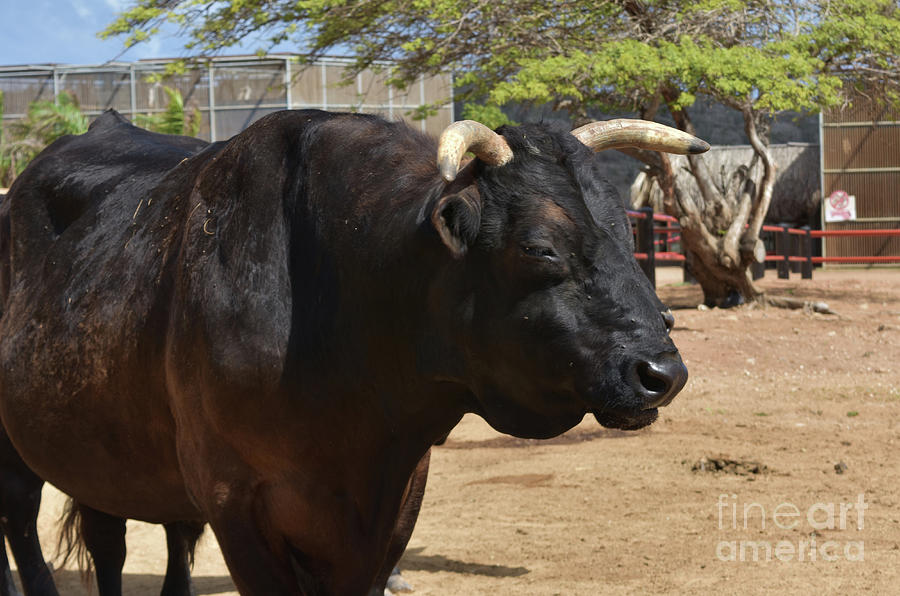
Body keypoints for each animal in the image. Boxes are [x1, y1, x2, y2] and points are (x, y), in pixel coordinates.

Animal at [0, 109, 692, 592]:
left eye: (626, 231)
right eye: (540, 247)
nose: (661, 371)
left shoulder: (395, 499)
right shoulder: (233, 500)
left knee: (122, 538)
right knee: (25, 522)